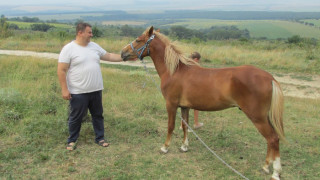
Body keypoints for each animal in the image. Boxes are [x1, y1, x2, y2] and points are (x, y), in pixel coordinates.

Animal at [122, 26, 284, 180]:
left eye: (138, 40)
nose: (122, 53)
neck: (175, 71)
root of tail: (269, 77)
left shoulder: (171, 105)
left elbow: (170, 126)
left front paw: (165, 147)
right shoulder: (185, 107)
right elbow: (185, 126)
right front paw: (184, 147)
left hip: (257, 117)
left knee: (273, 138)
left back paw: (275, 172)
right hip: (264, 117)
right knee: (271, 139)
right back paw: (266, 166)